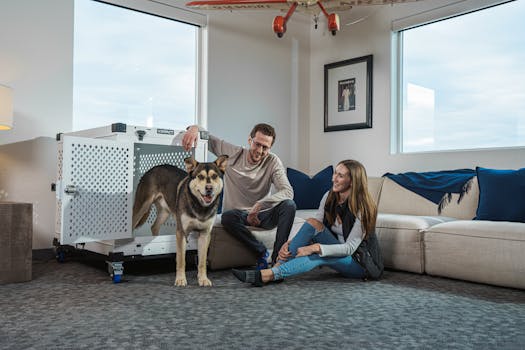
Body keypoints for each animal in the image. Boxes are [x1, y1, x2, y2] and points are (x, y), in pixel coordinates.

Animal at [132, 157, 226, 288]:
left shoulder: (205, 234)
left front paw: (203, 279)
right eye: (200, 176)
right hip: (142, 207)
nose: (209, 188)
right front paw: (181, 279)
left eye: (214, 176)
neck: (200, 206)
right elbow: (181, 260)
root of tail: (152, 169)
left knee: (154, 226)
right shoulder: (181, 233)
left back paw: (154, 238)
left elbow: (202, 261)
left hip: (165, 212)